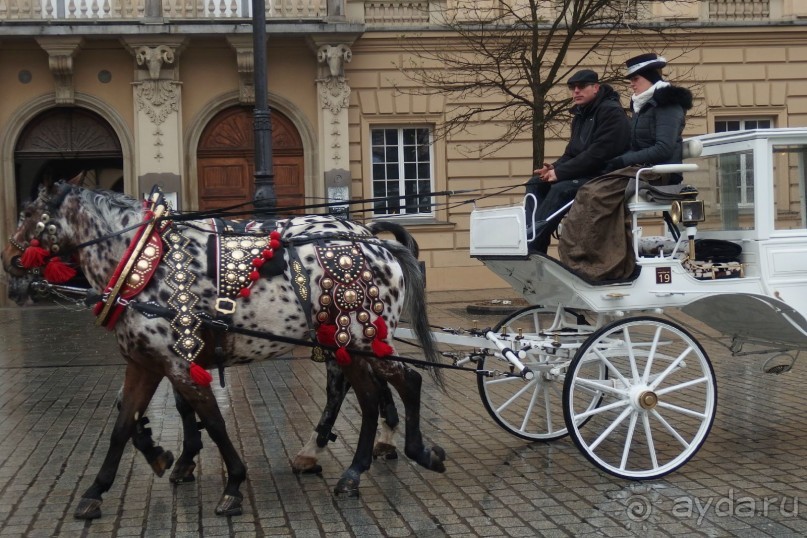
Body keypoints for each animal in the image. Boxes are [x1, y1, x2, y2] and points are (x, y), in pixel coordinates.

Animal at [0, 182, 446, 516]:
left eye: (26, 215)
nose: (8, 262)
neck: (146, 263)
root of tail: (377, 245)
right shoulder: (145, 365)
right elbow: (124, 424)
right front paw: (100, 489)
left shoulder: (179, 363)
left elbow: (211, 421)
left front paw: (229, 482)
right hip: (345, 345)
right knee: (372, 394)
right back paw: (359, 465)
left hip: (360, 339)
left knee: (401, 383)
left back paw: (397, 454)